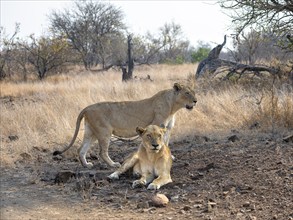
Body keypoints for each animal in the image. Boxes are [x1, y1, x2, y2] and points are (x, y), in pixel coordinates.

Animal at [53, 83, 197, 168]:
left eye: (193, 92)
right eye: (187, 93)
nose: (196, 101)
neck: (173, 107)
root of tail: (87, 108)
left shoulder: (166, 129)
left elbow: (165, 143)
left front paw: (169, 156)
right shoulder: (156, 125)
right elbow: (157, 143)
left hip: (91, 132)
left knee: (81, 149)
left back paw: (86, 165)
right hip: (104, 132)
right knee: (102, 152)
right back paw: (113, 164)